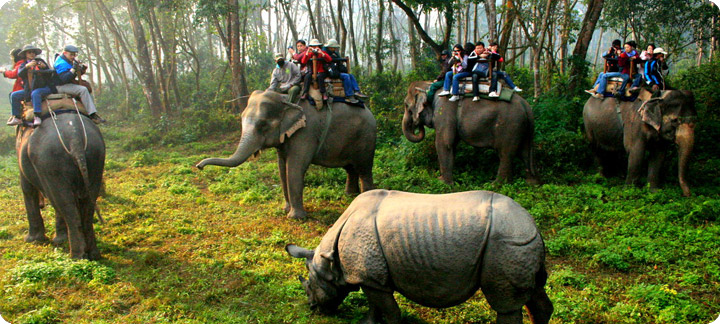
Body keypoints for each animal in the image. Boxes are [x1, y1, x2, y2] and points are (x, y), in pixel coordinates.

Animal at [16, 112, 105, 260]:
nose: (42, 205)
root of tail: (74, 137)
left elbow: (27, 189)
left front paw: (32, 240)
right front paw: (61, 239)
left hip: (50, 163)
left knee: (64, 203)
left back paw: (77, 257)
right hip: (96, 157)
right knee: (87, 202)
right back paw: (93, 254)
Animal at [197, 90, 376, 219]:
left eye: (262, 124)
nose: (199, 166)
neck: (286, 100)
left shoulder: (305, 132)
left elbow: (294, 168)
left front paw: (295, 218)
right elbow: (282, 168)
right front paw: (285, 209)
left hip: (366, 138)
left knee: (364, 168)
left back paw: (366, 197)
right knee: (350, 168)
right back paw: (350, 195)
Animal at [286, 190, 552, 324]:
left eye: (310, 286)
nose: (313, 308)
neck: (330, 260)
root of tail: (533, 225)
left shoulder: (370, 276)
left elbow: (390, 312)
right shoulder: (369, 276)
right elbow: (374, 306)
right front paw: (366, 323)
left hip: (506, 243)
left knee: (505, 303)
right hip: (519, 243)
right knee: (535, 293)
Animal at [402, 80, 536, 185]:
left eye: (406, 105)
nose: (417, 124)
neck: (429, 86)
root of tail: (526, 106)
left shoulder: (444, 111)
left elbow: (444, 143)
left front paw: (443, 183)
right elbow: (452, 145)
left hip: (510, 125)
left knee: (505, 154)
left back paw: (495, 185)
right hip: (523, 128)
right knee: (525, 152)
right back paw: (530, 183)